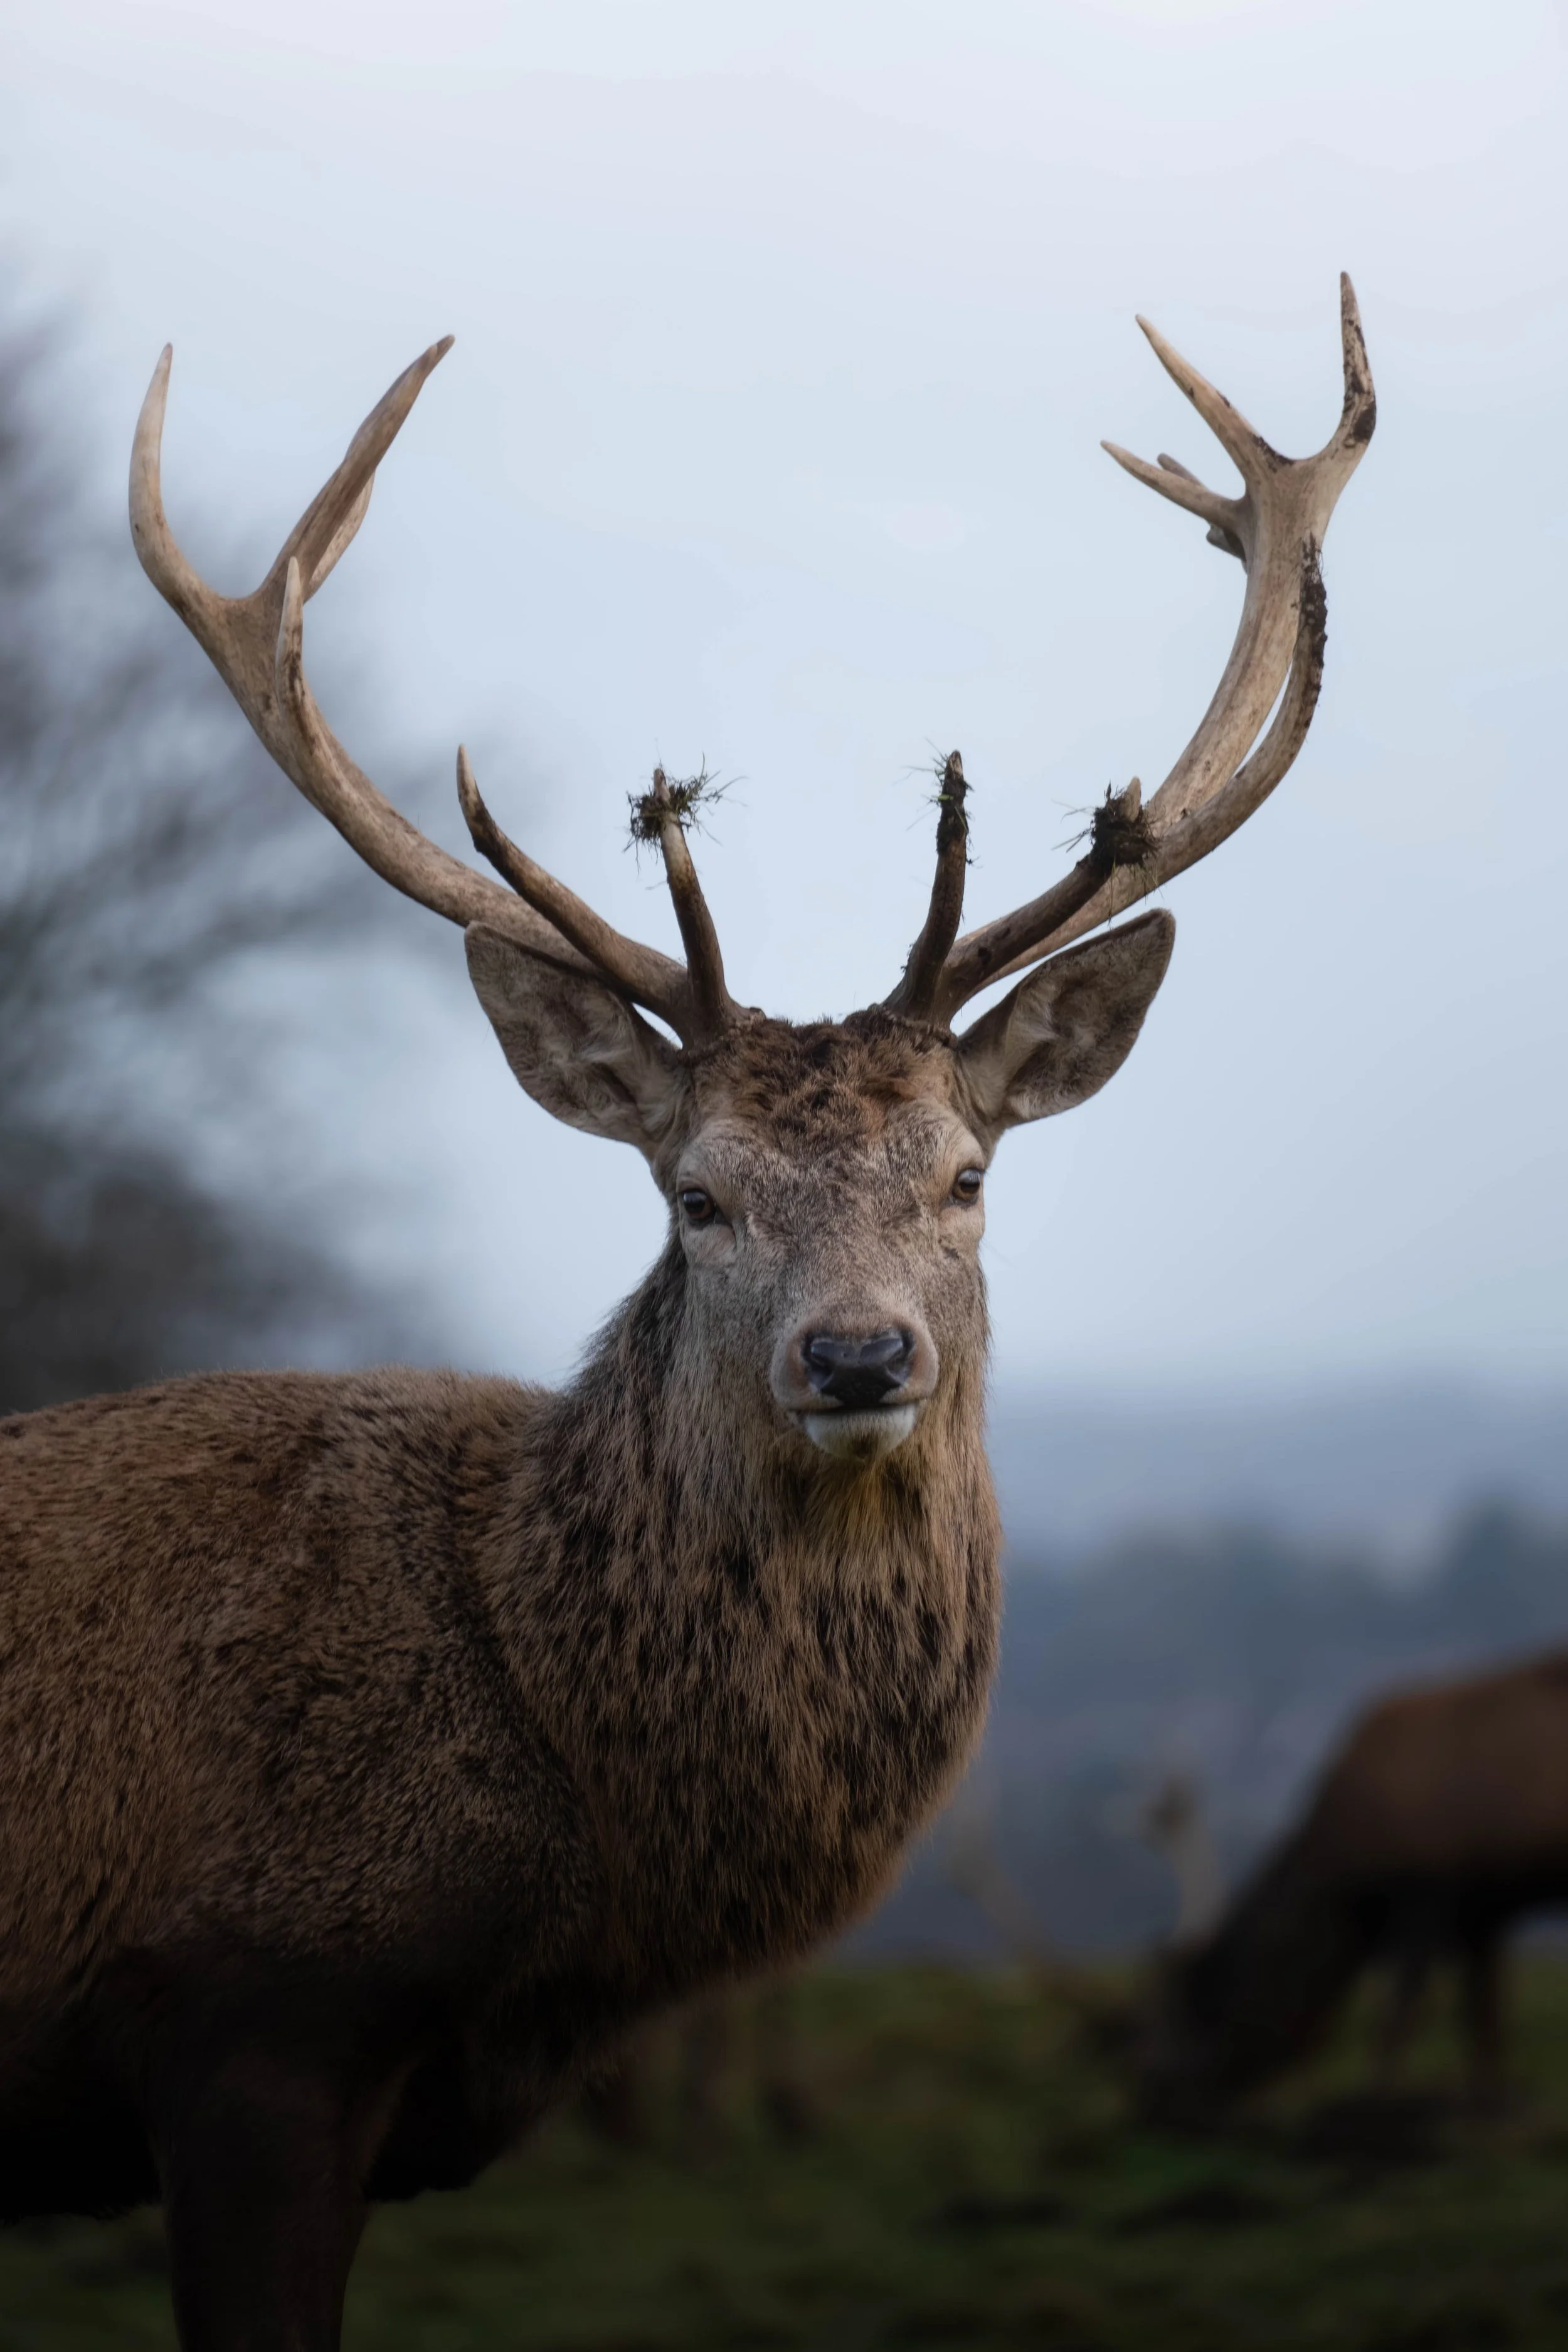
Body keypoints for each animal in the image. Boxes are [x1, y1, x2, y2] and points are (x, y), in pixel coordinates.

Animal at [1136, 1648, 1568, 2126]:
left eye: (1200, 2013)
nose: (1151, 2107)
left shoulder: (1428, 1890)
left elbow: (1399, 2012)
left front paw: (1377, 2099)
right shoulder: (1483, 1906)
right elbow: (1482, 2011)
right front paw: (1487, 2101)